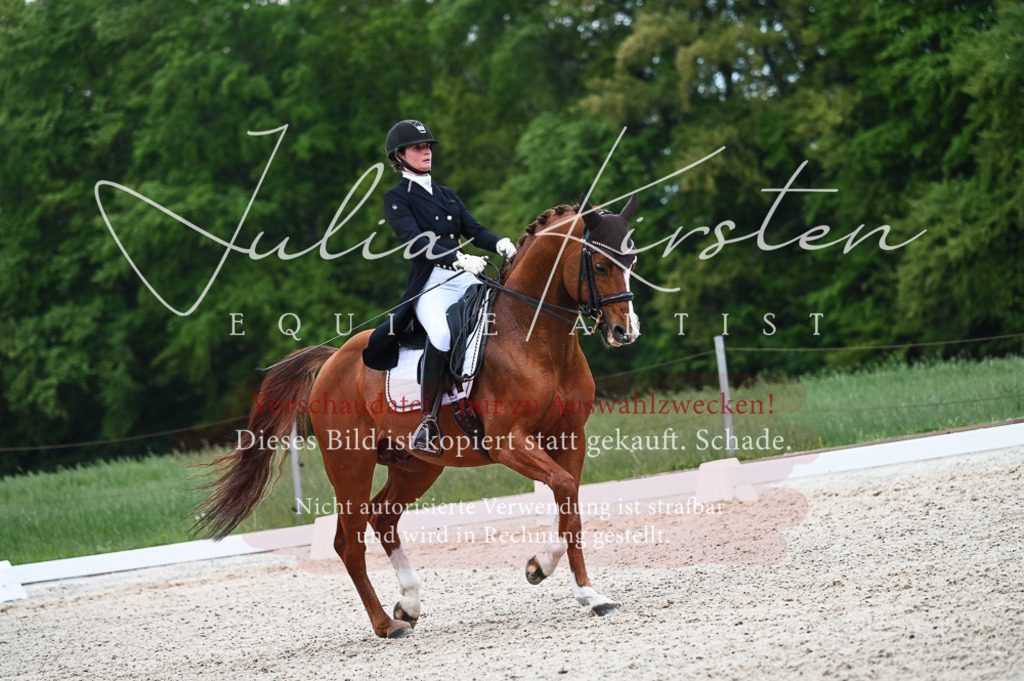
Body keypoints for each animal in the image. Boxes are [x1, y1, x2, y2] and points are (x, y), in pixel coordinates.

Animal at [195, 194, 642, 638]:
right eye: (600, 265)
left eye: (631, 259)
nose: (625, 332)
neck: (534, 338)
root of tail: (333, 359)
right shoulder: (506, 442)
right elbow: (564, 492)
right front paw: (544, 569)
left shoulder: (570, 437)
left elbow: (570, 506)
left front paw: (588, 594)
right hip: (350, 465)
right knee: (349, 542)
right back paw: (387, 625)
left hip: (416, 465)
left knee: (383, 517)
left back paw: (408, 603)